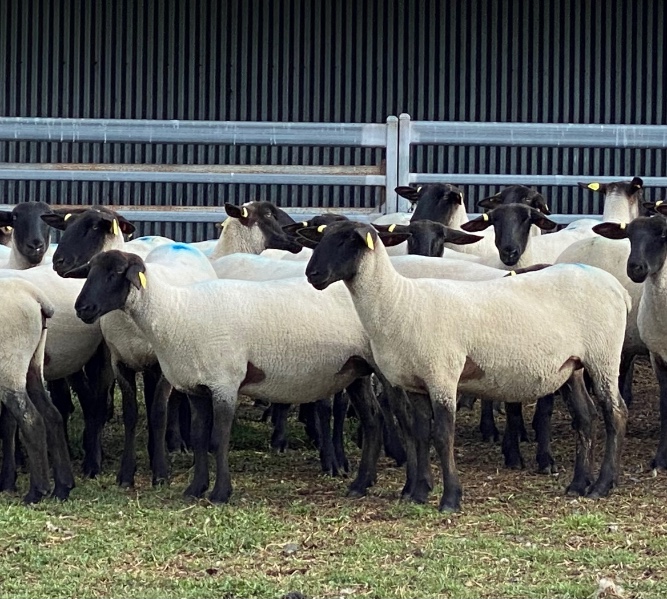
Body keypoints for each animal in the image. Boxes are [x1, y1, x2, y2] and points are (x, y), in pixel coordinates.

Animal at [0, 277, 74, 503]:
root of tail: (35, 296)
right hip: (33, 362)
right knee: (52, 415)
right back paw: (62, 487)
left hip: (10, 365)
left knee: (31, 420)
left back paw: (36, 492)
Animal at [67, 249, 384, 503]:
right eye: (90, 271)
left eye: (116, 273)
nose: (82, 308)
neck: (174, 314)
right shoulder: (196, 387)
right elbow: (198, 436)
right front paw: (195, 489)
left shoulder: (225, 384)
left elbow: (219, 438)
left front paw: (220, 493)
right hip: (356, 369)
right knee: (372, 419)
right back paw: (361, 484)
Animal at [301, 219, 629, 511]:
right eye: (322, 238)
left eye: (347, 240)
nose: (312, 274)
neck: (399, 302)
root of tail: (615, 286)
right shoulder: (416, 382)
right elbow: (421, 433)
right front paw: (418, 494)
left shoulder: (442, 374)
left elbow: (443, 436)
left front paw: (450, 499)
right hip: (573, 365)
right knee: (585, 418)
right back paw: (578, 484)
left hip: (603, 356)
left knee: (615, 414)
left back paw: (602, 485)